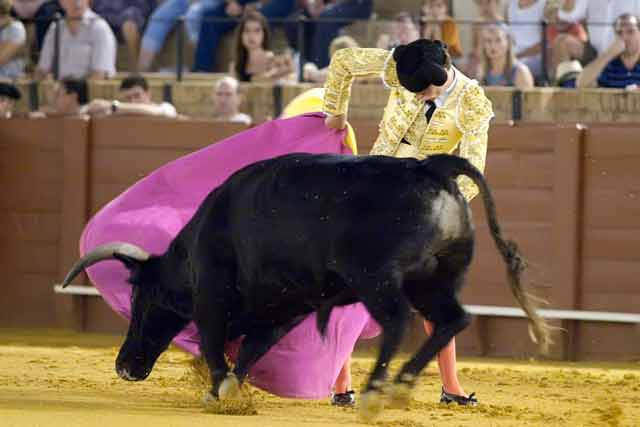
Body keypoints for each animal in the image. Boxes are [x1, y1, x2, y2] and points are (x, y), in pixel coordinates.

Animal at [62, 153, 552, 418]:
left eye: (140, 300)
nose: (125, 366)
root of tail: (430, 166)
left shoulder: (214, 299)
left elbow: (216, 346)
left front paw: (218, 393)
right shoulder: (285, 309)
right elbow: (250, 350)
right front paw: (231, 392)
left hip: (377, 279)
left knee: (397, 322)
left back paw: (374, 395)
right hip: (434, 280)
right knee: (453, 320)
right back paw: (398, 388)